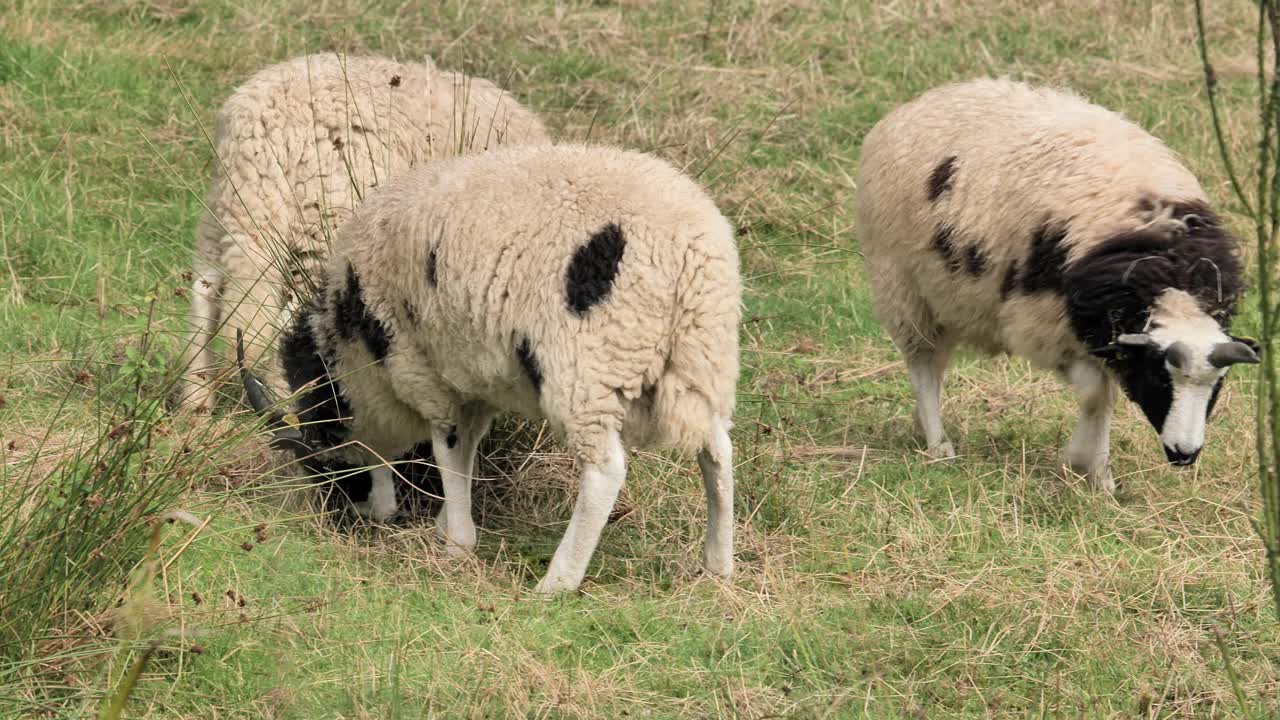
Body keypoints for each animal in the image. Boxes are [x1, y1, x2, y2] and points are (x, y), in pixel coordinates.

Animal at [240, 142, 742, 591]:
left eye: (323, 461)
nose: (343, 519)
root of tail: (691, 250)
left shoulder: (419, 371)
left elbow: (446, 448)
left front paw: (457, 544)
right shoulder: (474, 382)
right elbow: (467, 448)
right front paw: (446, 522)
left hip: (588, 369)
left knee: (606, 471)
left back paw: (557, 583)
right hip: (703, 362)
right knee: (717, 451)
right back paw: (717, 566)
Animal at [860, 79, 1259, 491]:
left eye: (1218, 385)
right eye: (1159, 378)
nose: (1185, 454)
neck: (1170, 281)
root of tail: (925, 100)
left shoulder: (1102, 331)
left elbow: (1105, 395)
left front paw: (1100, 479)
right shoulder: (1042, 325)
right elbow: (1097, 394)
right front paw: (1080, 462)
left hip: (947, 295)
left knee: (936, 363)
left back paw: (920, 426)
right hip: (903, 287)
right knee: (923, 364)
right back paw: (939, 444)